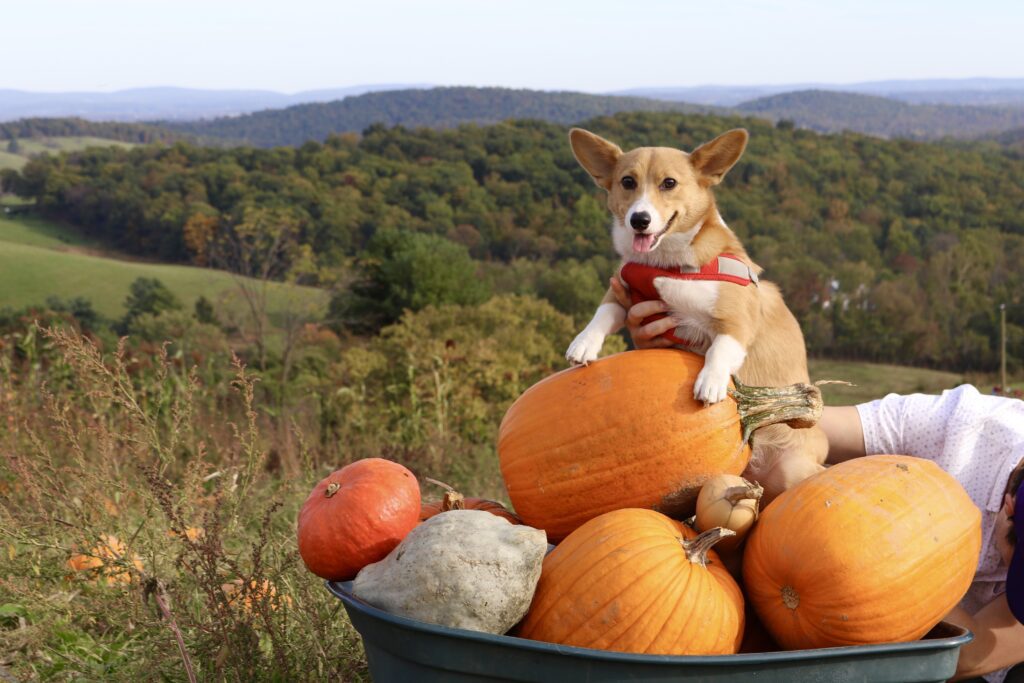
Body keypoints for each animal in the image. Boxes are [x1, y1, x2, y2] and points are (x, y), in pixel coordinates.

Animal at [565, 127, 827, 499]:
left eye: (669, 183)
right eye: (627, 182)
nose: (639, 220)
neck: (669, 264)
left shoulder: (736, 323)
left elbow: (720, 348)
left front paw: (711, 381)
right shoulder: (621, 292)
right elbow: (602, 314)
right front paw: (583, 344)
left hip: (793, 470)